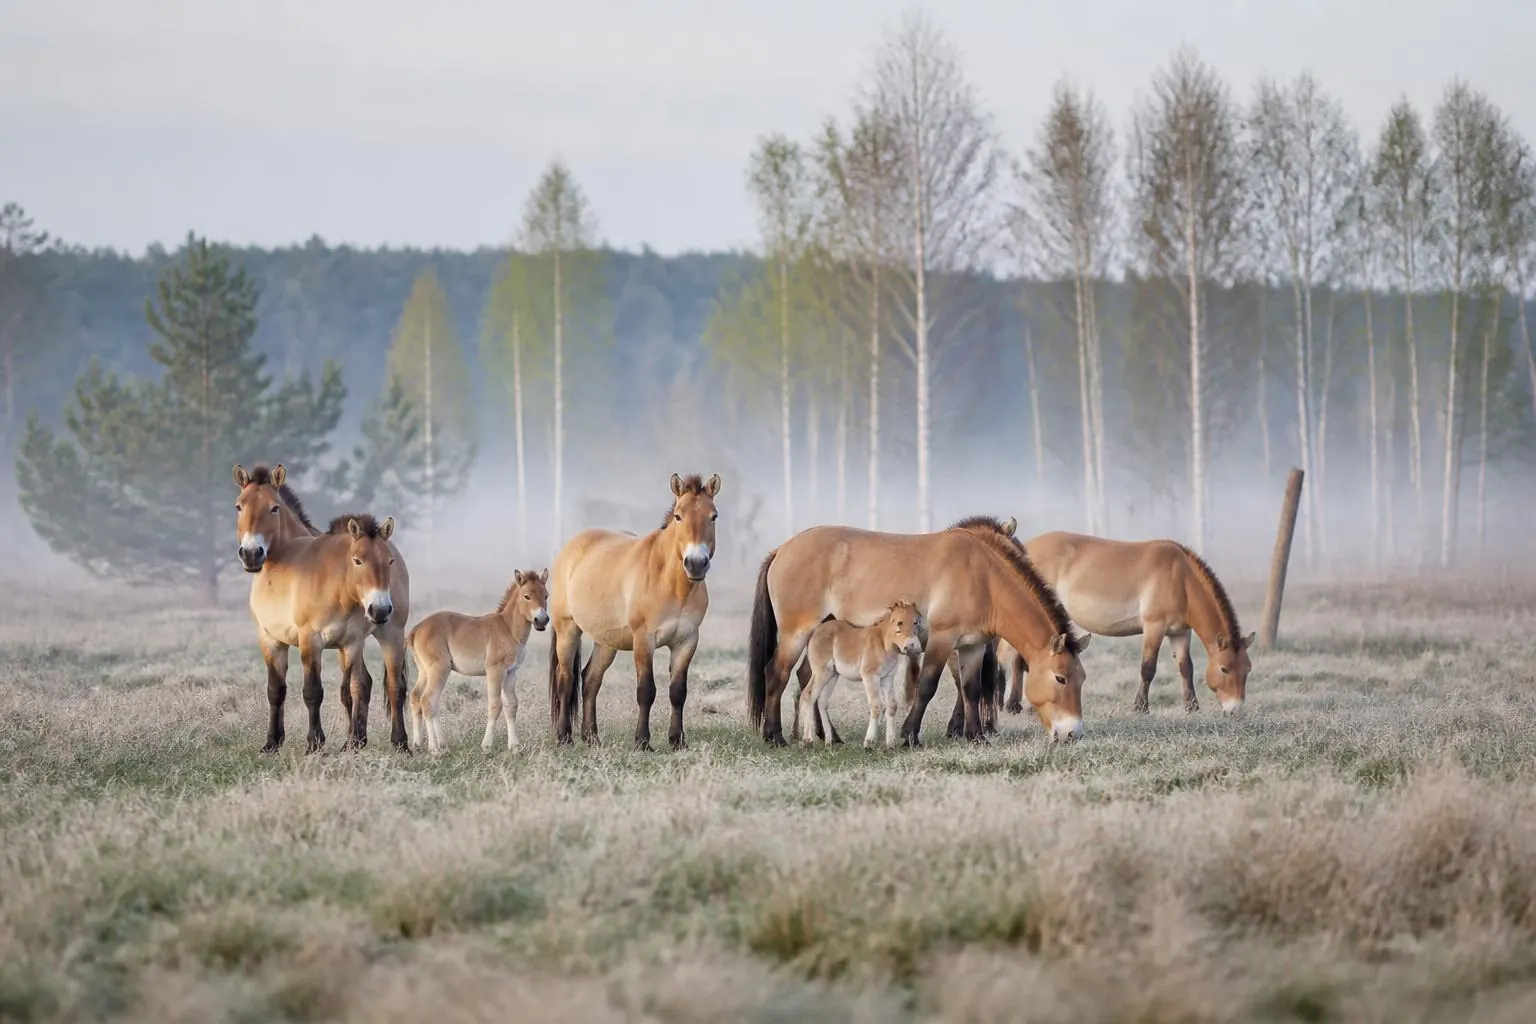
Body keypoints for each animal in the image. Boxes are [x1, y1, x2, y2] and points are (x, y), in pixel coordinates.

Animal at [232, 463, 413, 749]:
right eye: (239, 506)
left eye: (274, 508)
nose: (251, 554)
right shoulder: (272, 638)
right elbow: (276, 689)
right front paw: (272, 742)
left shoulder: (311, 639)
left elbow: (314, 691)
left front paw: (315, 743)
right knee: (370, 684)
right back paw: (364, 741)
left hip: (390, 632)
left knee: (392, 686)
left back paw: (395, 742)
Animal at [405, 568, 550, 754]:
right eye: (527, 596)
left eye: (546, 595)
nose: (542, 620)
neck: (508, 628)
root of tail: (416, 629)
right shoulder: (495, 671)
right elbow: (495, 705)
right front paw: (487, 746)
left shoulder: (511, 672)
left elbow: (511, 705)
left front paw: (515, 747)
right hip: (439, 670)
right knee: (427, 701)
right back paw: (435, 749)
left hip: (425, 671)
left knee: (417, 697)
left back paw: (423, 743)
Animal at [546, 472, 721, 751]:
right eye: (678, 516)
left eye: (713, 516)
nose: (696, 563)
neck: (671, 584)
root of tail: (571, 547)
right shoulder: (643, 640)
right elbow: (646, 691)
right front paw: (642, 741)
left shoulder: (686, 641)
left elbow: (678, 692)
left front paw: (677, 740)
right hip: (567, 630)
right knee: (566, 680)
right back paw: (564, 736)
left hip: (606, 642)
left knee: (590, 679)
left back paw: (592, 737)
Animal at [800, 600, 924, 749]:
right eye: (899, 623)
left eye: (915, 622)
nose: (912, 646)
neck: (883, 642)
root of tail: (816, 631)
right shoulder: (870, 676)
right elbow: (876, 706)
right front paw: (869, 743)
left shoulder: (887, 678)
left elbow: (892, 706)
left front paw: (890, 744)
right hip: (821, 672)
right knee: (808, 695)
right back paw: (808, 740)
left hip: (833, 675)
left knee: (822, 702)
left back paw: (829, 742)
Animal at [1019, 530, 1255, 714]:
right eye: (1224, 669)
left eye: (1248, 669)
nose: (1235, 710)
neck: (1181, 577)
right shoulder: (1154, 627)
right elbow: (1147, 668)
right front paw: (1140, 707)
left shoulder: (1180, 632)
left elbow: (1186, 667)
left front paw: (1192, 707)